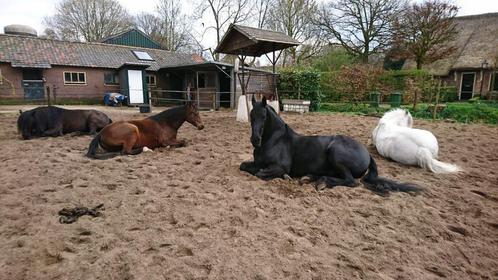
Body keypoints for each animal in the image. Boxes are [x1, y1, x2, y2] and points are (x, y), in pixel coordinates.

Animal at [239, 97, 422, 196]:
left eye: (264, 116)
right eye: (251, 115)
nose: (255, 140)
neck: (274, 140)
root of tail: (368, 154)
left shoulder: (280, 166)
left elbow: (261, 173)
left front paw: (285, 177)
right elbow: (244, 166)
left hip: (335, 152)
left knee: (351, 181)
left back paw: (321, 182)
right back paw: (310, 178)